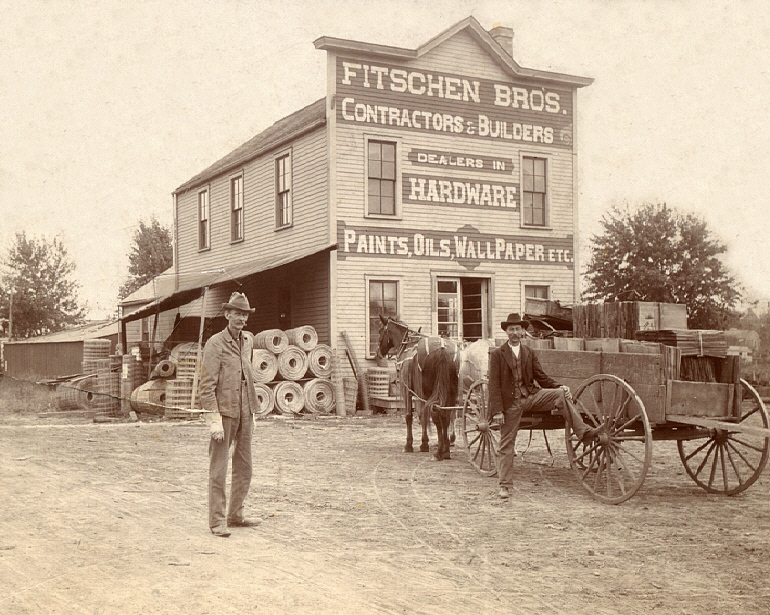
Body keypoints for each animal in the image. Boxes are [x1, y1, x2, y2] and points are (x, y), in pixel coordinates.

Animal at [376, 315, 460, 461]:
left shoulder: (408, 391)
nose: (379, 353)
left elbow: (411, 416)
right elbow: (423, 416)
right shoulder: (420, 394)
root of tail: (442, 349)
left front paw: (410, 445)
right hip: (449, 392)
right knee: (446, 415)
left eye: (381, 330)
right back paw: (446, 451)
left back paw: (439, 452)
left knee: (437, 414)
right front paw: (424, 444)